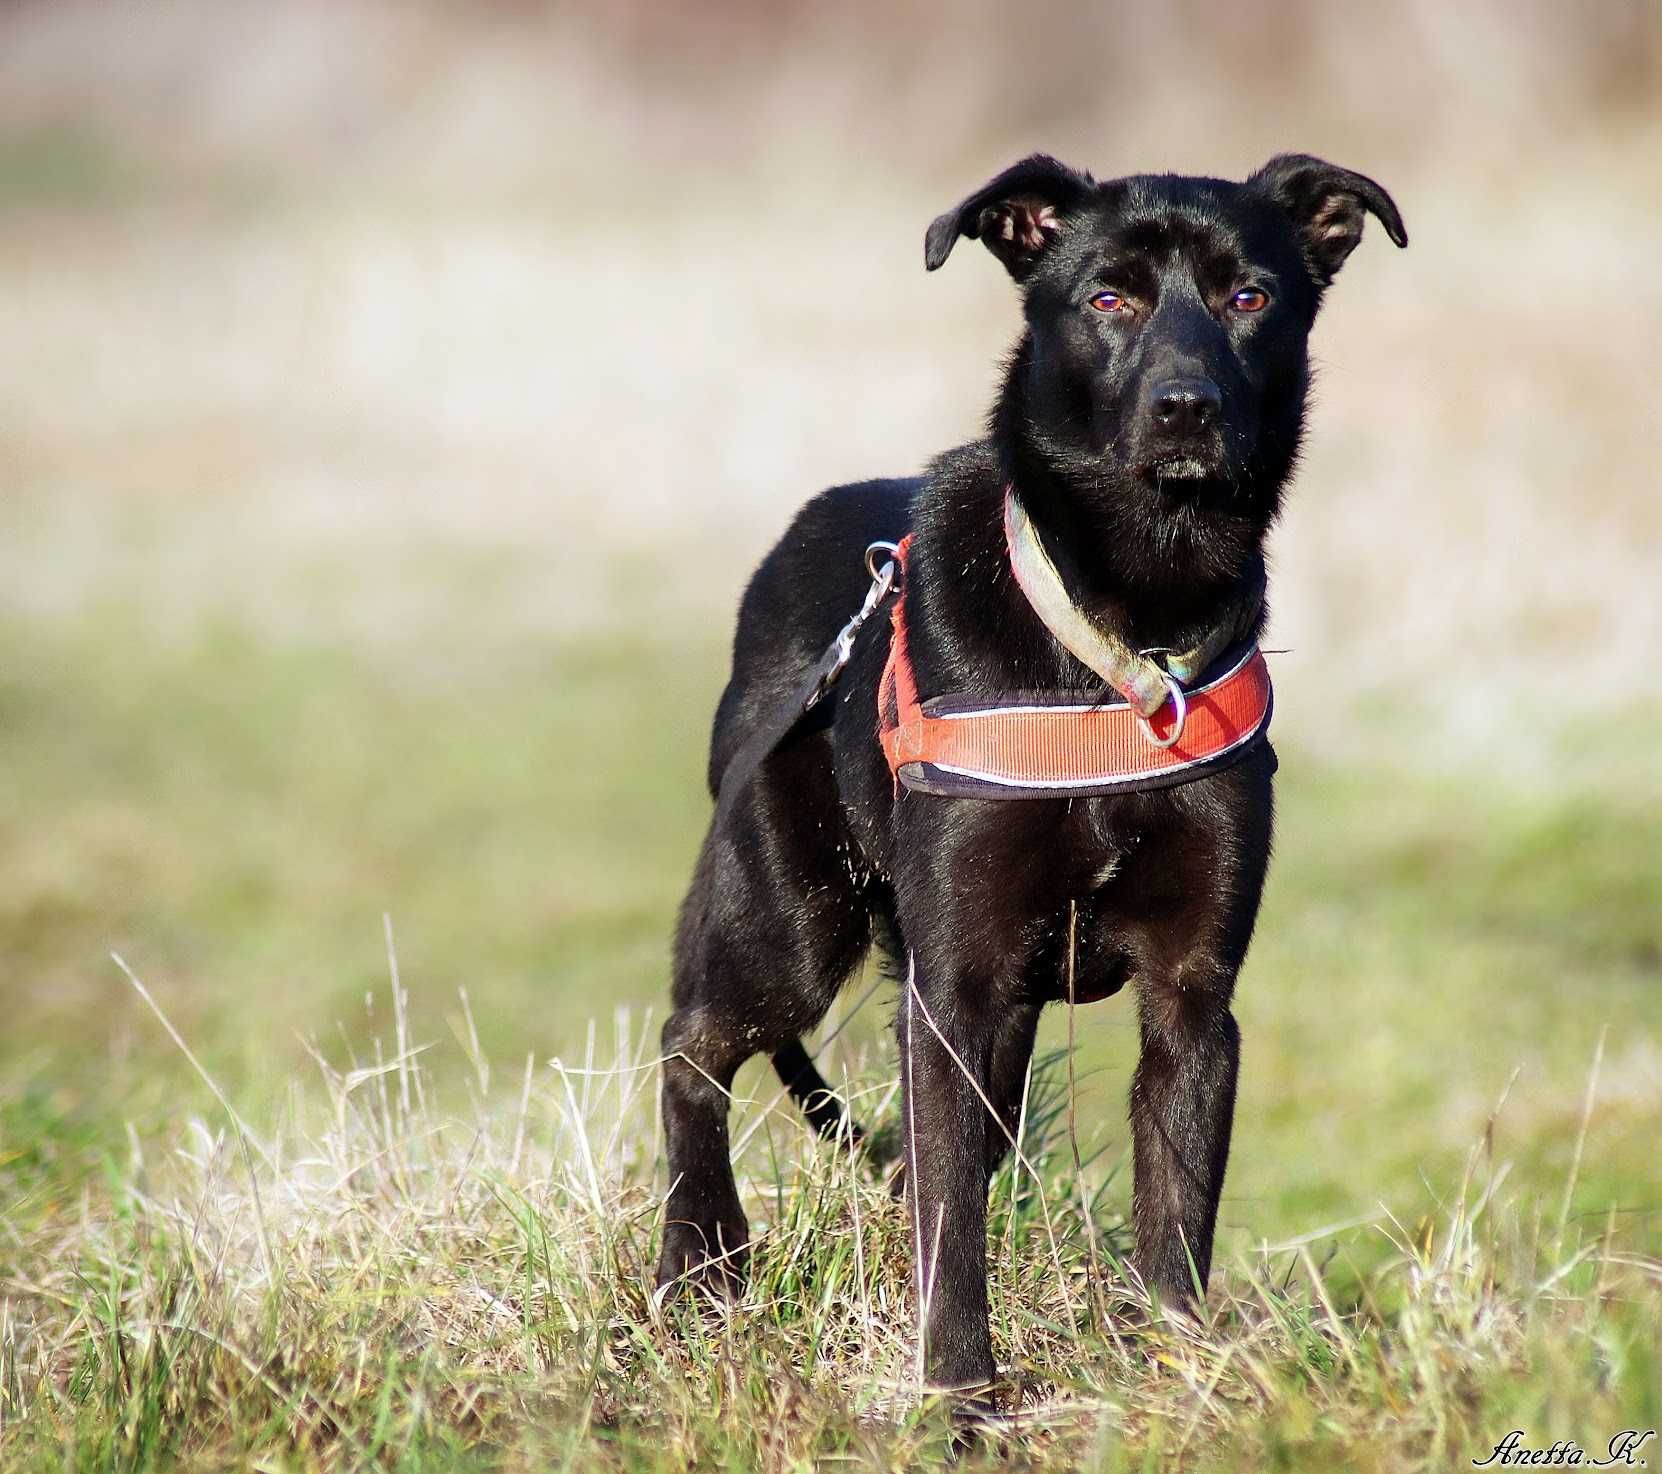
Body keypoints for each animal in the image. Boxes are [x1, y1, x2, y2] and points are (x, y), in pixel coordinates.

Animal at [651, 152, 1402, 1395]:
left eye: (1250, 298)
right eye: (1109, 299)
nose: (1186, 407)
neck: (1124, 634)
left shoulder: (1192, 998)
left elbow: (1174, 1216)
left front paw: (1175, 1381)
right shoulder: (954, 990)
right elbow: (952, 1230)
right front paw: (958, 1396)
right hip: (789, 919)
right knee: (693, 1047)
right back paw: (700, 1259)